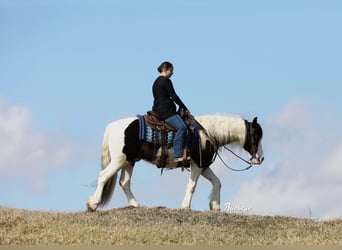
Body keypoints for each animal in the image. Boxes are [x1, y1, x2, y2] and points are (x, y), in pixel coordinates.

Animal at [87, 114, 264, 212]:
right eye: (256, 135)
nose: (261, 158)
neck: (207, 133)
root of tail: (112, 127)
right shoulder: (197, 165)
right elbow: (192, 186)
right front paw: (185, 206)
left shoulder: (204, 166)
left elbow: (217, 182)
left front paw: (215, 205)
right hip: (119, 160)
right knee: (103, 176)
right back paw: (92, 204)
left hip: (129, 161)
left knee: (124, 182)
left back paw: (135, 204)